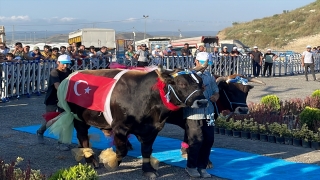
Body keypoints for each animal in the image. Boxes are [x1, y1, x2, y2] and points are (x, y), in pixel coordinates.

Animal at [66, 66, 209, 179]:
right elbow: (121, 151)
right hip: (78, 118)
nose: (202, 102)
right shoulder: (119, 127)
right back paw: (90, 159)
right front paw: (111, 161)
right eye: (182, 84)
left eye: (201, 84)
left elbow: (146, 151)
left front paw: (148, 170)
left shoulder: (153, 129)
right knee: (83, 137)